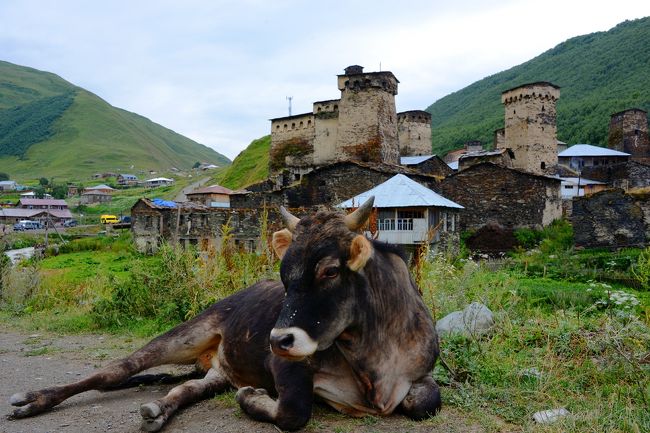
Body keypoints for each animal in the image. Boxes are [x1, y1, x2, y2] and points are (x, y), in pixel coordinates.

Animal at [8, 197, 440, 430]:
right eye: (283, 275)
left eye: (331, 271)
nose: (278, 339)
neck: (373, 359)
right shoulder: (284, 364)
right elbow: (293, 412)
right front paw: (254, 398)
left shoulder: (421, 374)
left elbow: (427, 402)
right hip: (189, 331)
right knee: (113, 371)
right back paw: (33, 400)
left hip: (220, 369)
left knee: (187, 389)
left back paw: (158, 410)